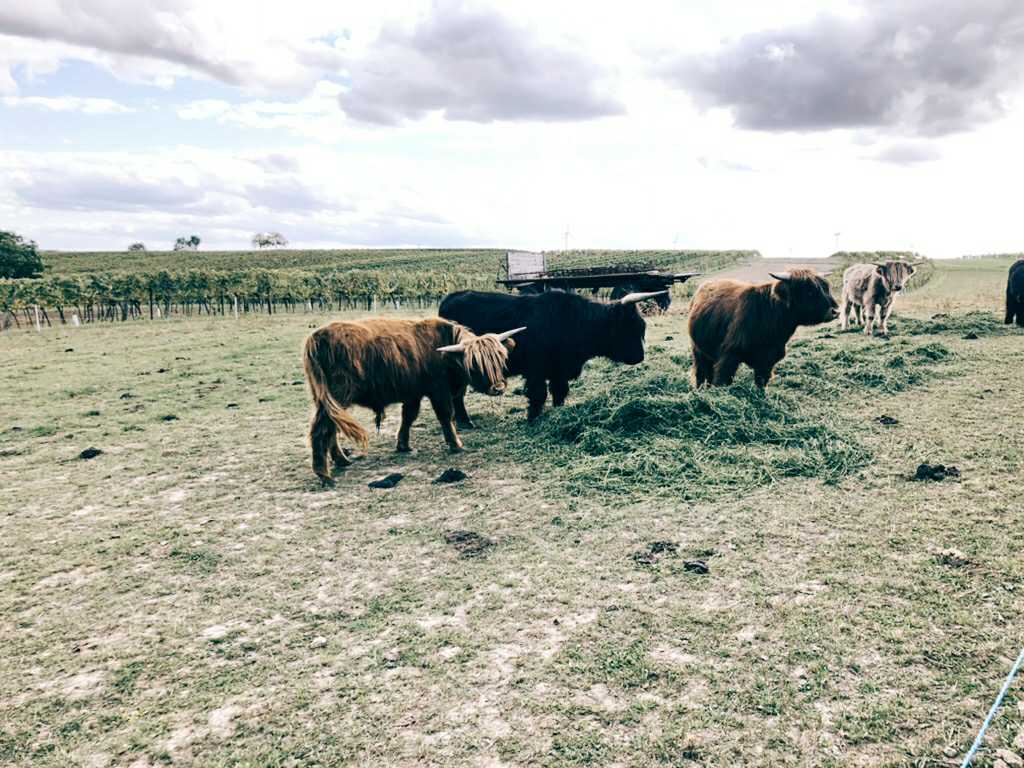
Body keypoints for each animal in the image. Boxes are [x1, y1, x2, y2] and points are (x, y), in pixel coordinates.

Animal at [299, 319, 524, 487]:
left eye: (500, 358)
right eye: (476, 363)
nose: (498, 388)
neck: (447, 356)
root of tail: (315, 338)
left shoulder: (413, 394)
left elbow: (409, 416)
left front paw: (403, 445)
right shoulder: (439, 390)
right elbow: (445, 415)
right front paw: (456, 444)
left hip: (326, 400)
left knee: (331, 429)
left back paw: (342, 461)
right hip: (338, 396)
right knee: (322, 429)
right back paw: (324, 475)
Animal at [688, 272, 839, 391]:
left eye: (826, 288)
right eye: (809, 291)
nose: (835, 311)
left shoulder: (768, 359)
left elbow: (761, 382)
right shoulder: (730, 355)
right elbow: (722, 380)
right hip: (697, 349)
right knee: (701, 372)